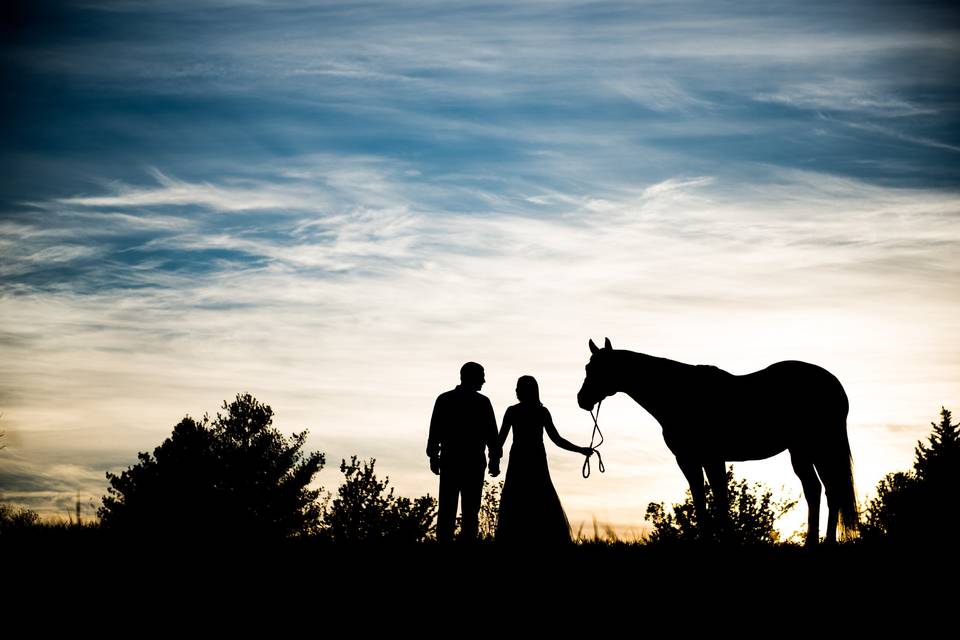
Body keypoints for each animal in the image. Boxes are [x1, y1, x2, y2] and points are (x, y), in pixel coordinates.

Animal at [572, 338, 860, 544]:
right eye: (587, 368)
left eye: (600, 369)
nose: (582, 400)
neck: (676, 393)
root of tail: (834, 384)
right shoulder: (689, 460)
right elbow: (701, 500)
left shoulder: (710, 458)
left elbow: (719, 499)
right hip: (802, 451)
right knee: (817, 489)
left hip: (819, 446)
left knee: (830, 489)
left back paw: (826, 542)